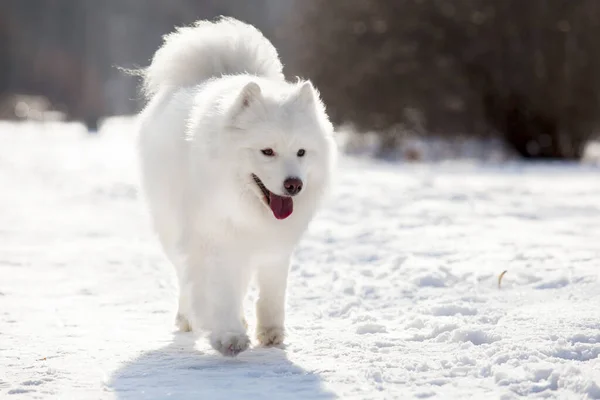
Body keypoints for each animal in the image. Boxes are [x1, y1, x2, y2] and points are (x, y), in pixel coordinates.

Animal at [134, 16, 336, 356]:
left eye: (301, 152)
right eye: (267, 151)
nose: (293, 185)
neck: (247, 209)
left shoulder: (274, 247)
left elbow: (272, 293)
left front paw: (270, 333)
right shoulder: (214, 241)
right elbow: (218, 292)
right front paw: (228, 336)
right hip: (174, 230)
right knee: (186, 278)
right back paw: (189, 318)